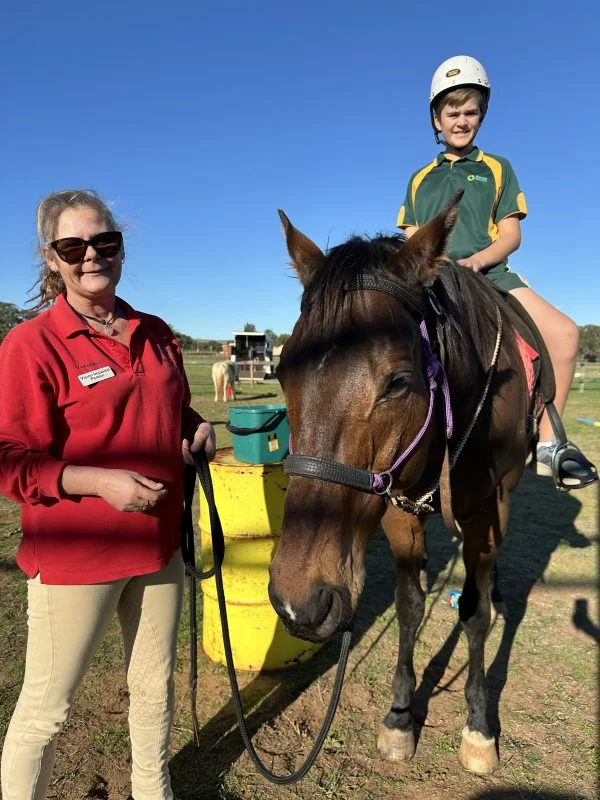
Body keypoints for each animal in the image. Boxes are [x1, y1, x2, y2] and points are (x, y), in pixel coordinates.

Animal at [270, 198, 532, 776]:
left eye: (397, 382)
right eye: (281, 371)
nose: (301, 603)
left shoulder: (489, 509)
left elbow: (475, 614)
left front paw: (479, 726)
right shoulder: (395, 508)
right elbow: (409, 606)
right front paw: (398, 715)